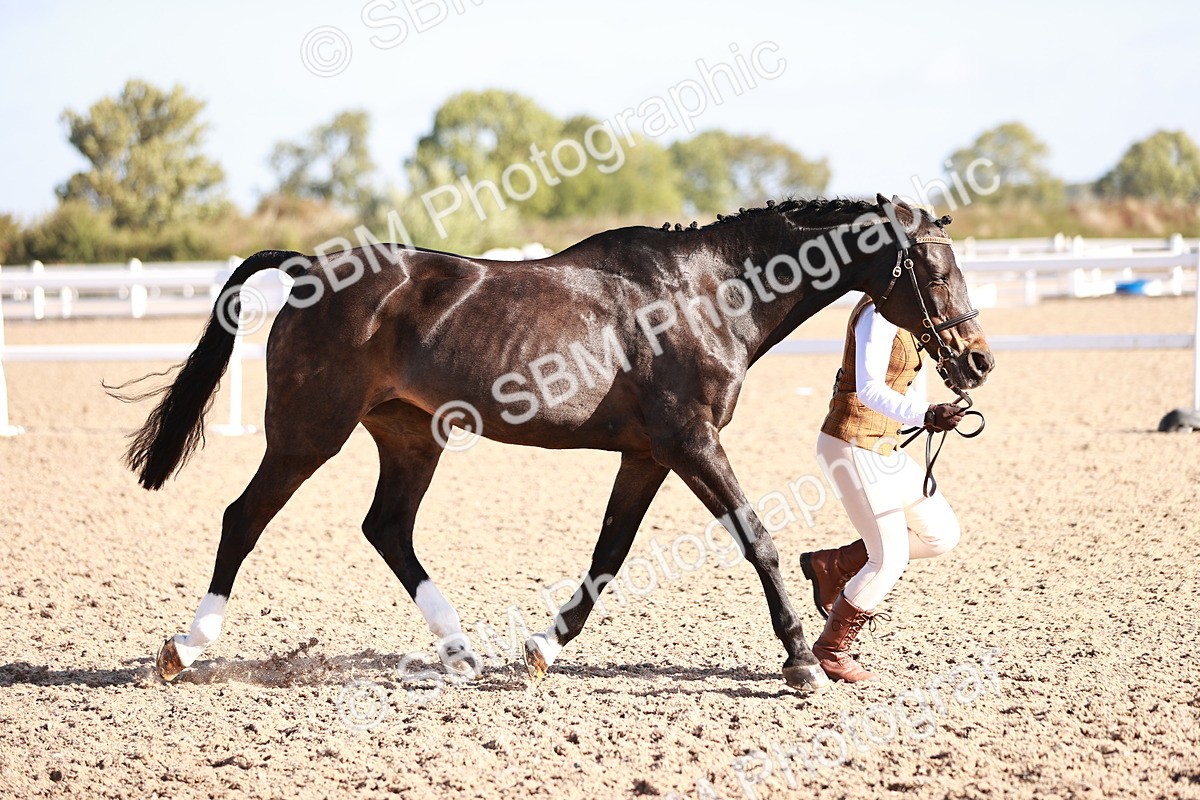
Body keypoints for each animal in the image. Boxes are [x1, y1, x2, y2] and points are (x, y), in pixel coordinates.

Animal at [116, 194, 993, 691]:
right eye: (934, 267)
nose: (976, 360)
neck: (710, 294)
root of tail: (308, 268)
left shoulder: (648, 455)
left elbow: (610, 556)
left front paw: (542, 647)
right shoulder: (691, 441)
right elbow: (758, 540)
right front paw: (802, 664)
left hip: (410, 437)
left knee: (387, 528)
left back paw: (462, 654)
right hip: (308, 433)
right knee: (243, 519)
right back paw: (183, 649)